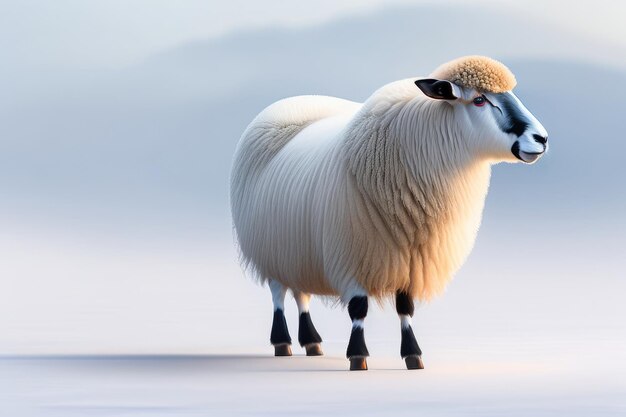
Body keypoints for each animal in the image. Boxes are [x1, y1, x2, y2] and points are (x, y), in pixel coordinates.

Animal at [229, 56, 544, 370]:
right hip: (270, 247)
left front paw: (413, 356)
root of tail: (291, 102)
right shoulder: (353, 254)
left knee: (300, 294)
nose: (541, 138)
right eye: (479, 99)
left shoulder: (409, 259)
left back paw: (311, 342)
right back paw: (282, 342)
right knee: (278, 294)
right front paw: (358, 356)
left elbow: (406, 307)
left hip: (297, 250)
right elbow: (359, 308)